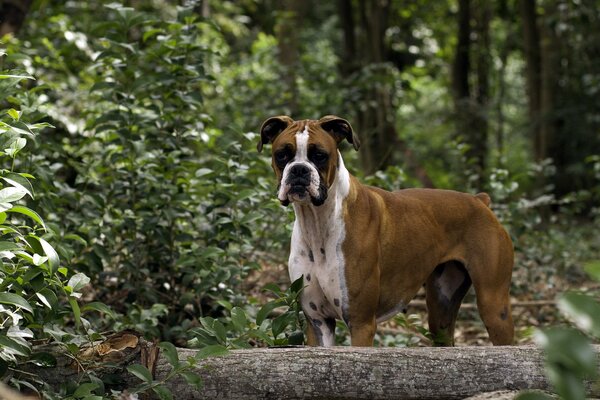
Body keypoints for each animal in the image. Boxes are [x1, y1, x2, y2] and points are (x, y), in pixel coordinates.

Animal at [255, 114, 512, 346]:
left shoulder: (361, 323)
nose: (299, 170)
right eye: (282, 155)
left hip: (493, 306)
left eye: (319, 155)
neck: (317, 221)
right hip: (441, 310)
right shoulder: (318, 322)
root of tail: (479, 200)